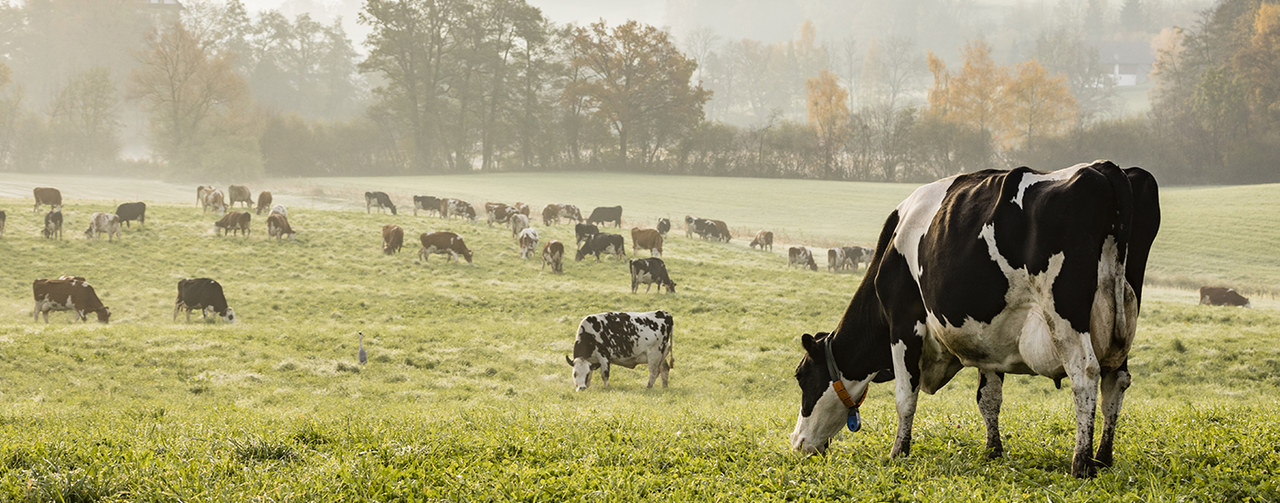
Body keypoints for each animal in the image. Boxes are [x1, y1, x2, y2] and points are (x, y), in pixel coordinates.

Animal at [788, 161, 1162, 478]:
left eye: (802, 376)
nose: (797, 443)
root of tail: (1105, 168)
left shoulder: (904, 322)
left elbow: (905, 397)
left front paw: (898, 452)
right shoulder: (991, 338)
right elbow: (988, 398)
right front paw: (992, 451)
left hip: (1066, 314)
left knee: (1085, 375)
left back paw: (1081, 463)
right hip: (1122, 322)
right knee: (1116, 380)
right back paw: (1103, 457)